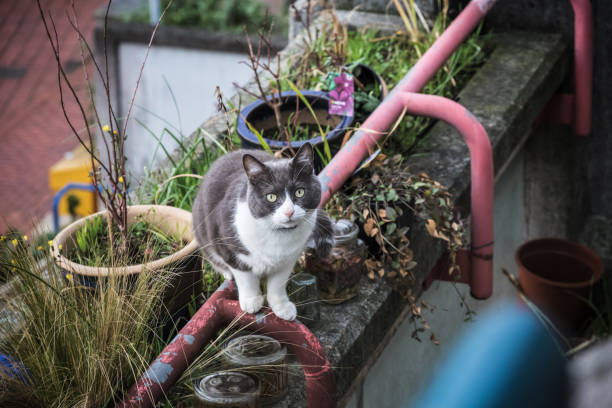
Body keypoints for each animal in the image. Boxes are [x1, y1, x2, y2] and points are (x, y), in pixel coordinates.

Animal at [194, 145, 332, 320]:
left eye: (300, 192)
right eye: (271, 196)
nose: (289, 212)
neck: (279, 235)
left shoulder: (288, 260)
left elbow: (277, 284)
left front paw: (281, 307)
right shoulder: (231, 249)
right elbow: (246, 278)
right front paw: (252, 301)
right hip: (203, 232)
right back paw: (227, 273)